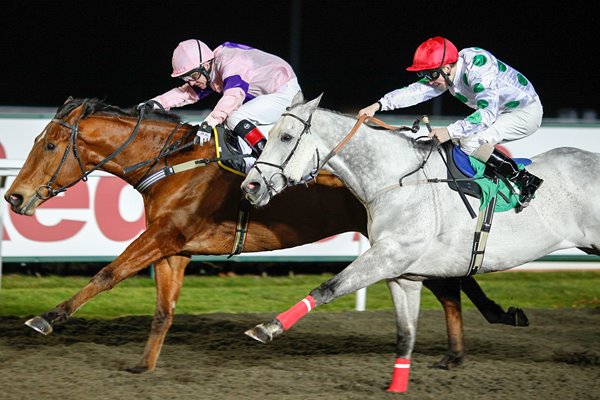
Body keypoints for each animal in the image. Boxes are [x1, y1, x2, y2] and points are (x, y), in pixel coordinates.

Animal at [4, 98, 528, 374]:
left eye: (49, 145)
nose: (15, 197)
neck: (173, 164)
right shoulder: (175, 249)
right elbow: (162, 310)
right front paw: (144, 366)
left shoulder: (164, 236)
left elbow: (108, 274)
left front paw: (45, 318)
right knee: (452, 286)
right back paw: (458, 352)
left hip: (401, 243)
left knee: (450, 287)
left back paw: (460, 350)